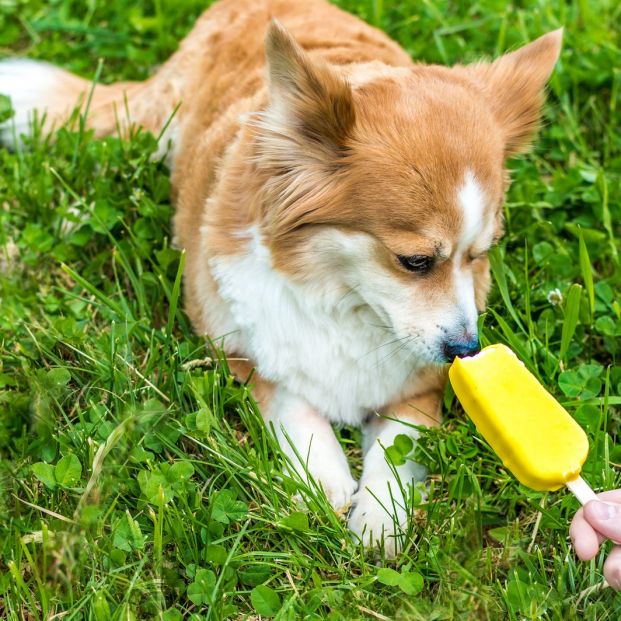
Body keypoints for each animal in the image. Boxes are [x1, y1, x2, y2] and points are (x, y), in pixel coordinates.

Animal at [0, 0, 560, 552]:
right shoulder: (243, 348)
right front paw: (325, 478)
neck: (344, 299)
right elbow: (294, 402)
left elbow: (399, 446)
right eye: (415, 262)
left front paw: (380, 517)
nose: (465, 350)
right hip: (153, 127)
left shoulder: (418, 387)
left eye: (480, 255)